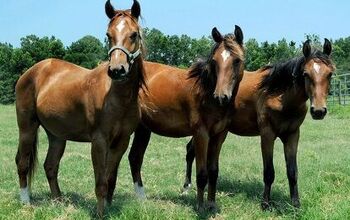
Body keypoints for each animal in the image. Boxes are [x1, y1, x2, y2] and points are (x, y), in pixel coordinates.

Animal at [15, 0, 144, 217]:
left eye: (134, 34)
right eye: (108, 35)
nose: (117, 70)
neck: (117, 97)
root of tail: (32, 71)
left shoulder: (121, 142)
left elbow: (110, 178)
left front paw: (108, 208)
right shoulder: (99, 141)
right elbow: (101, 183)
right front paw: (100, 214)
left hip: (56, 135)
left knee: (50, 166)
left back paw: (58, 201)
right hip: (27, 128)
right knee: (22, 162)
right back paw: (26, 202)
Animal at [127, 26, 245, 211]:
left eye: (237, 60)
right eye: (214, 62)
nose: (221, 97)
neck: (206, 92)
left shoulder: (219, 136)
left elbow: (213, 171)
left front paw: (212, 204)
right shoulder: (201, 134)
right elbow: (202, 173)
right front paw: (200, 207)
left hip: (144, 129)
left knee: (135, 158)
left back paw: (141, 198)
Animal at [182, 39, 334, 210]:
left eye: (330, 74)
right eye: (306, 74)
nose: (319, 111)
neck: (278, 95)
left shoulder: (292, 135)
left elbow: (292, 171)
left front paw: (295, 204)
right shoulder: (267, 135)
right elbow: (269, 172)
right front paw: (265, 203)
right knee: (190, 151)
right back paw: (186, 187)